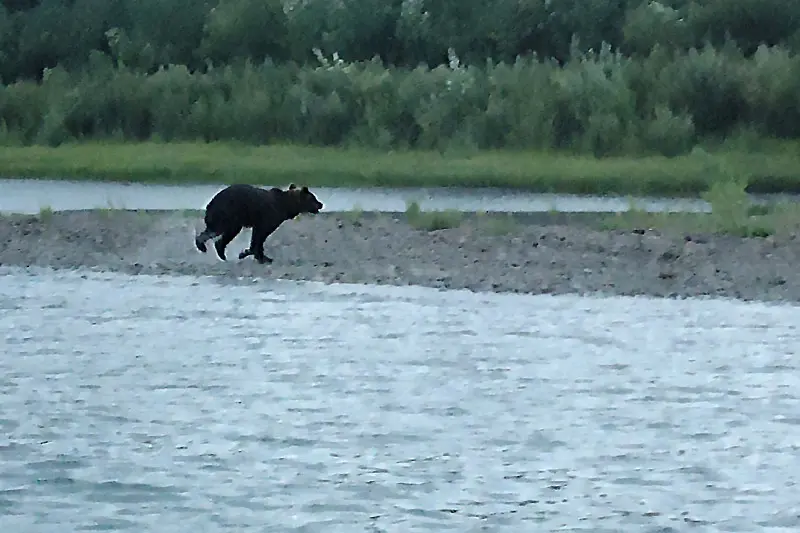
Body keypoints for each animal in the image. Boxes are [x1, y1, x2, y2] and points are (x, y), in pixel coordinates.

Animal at [195, 183, 324, 264]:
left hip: (233, 220)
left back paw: (221, 253)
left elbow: (257, 238)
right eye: (313, 198)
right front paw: (257, 256)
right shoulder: (268, 218)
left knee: (224, 234)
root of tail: (210, 202)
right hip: (227, 213)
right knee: (216, 230)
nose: (321, 204)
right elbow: (260, 236)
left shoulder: (262, 222)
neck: (285, 205)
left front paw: (255, 254)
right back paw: (202, 246)